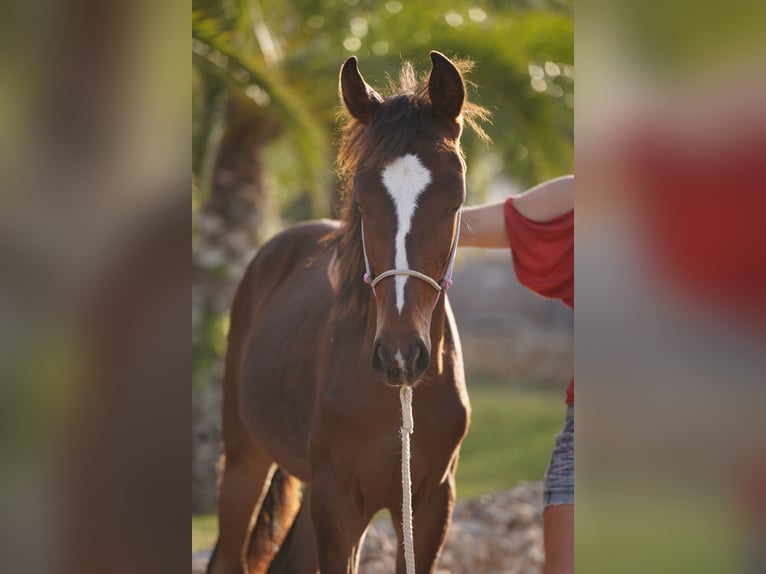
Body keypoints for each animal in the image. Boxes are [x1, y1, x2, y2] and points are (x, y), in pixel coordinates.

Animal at [207, 50, 488, 574]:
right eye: (361, 201)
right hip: (244, 458)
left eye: (455, 202)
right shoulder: (338, 505)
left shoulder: (430, 507)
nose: (400, 356)